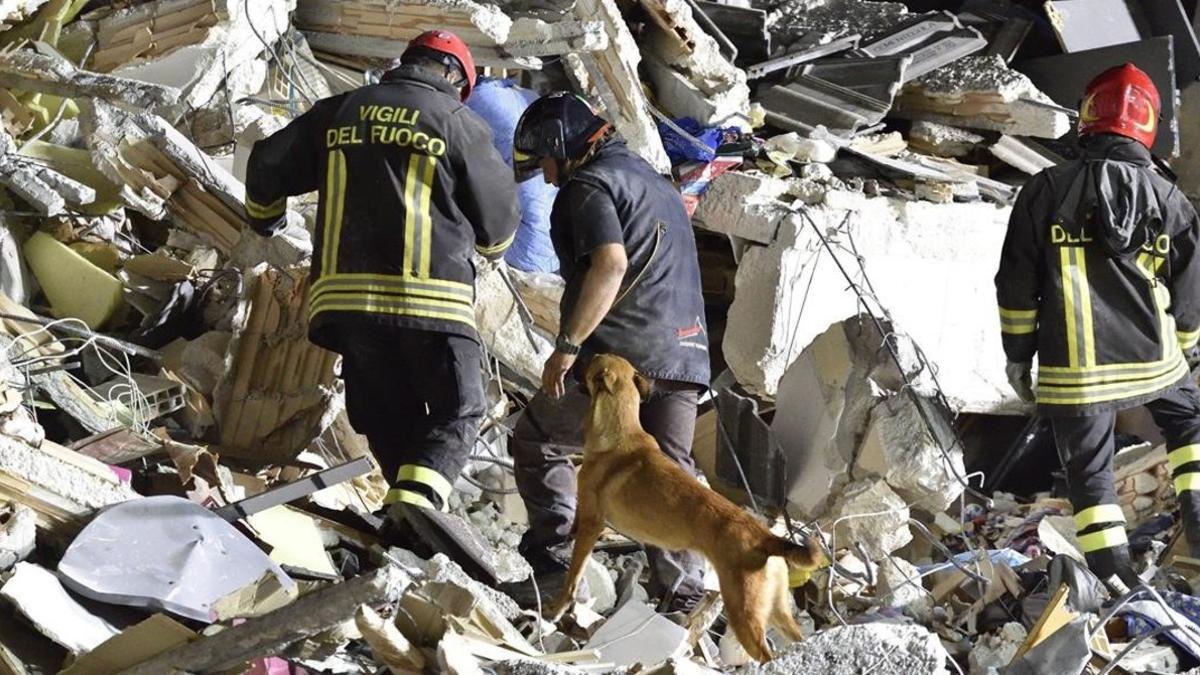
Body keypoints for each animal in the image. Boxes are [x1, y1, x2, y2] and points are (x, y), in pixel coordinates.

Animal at [547, 355, 820, 658]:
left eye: (591, 360)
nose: (569, 367)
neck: (620, 430)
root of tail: (767, 538)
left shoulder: (591, 523)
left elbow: (573, 577)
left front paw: (556, 609)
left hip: (743, 611)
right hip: (777, 610)